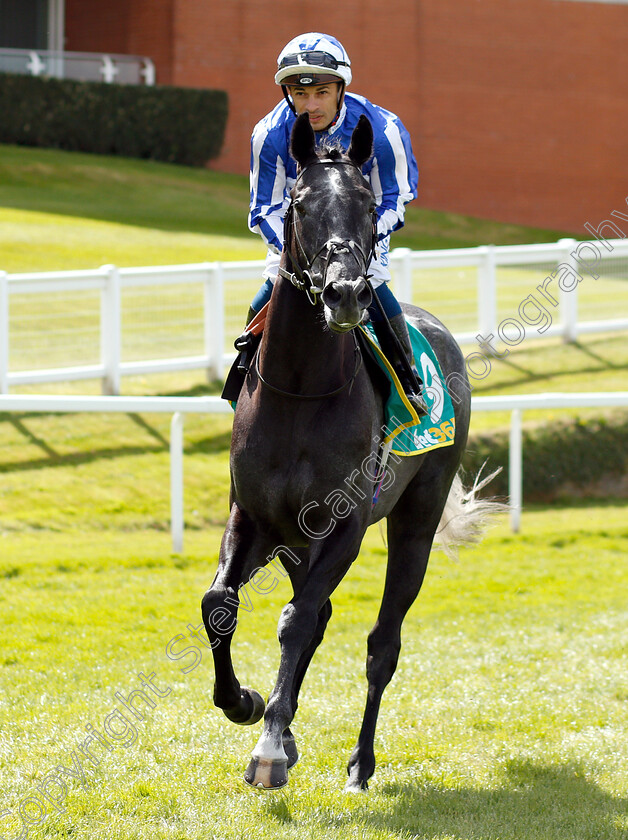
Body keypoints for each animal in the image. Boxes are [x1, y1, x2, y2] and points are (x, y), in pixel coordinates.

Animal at [201, 113, 496, 796]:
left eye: (366, 202)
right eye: (300, 204)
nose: (344, 294)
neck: (301, 391)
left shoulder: (345, 527)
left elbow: (295, 620)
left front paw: (268, 748)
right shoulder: (256, 519)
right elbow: (221, 605)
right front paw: (247, 705)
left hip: (414, 523)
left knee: (381, 643)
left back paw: (360, 762)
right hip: (295, 543)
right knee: (320, 614)